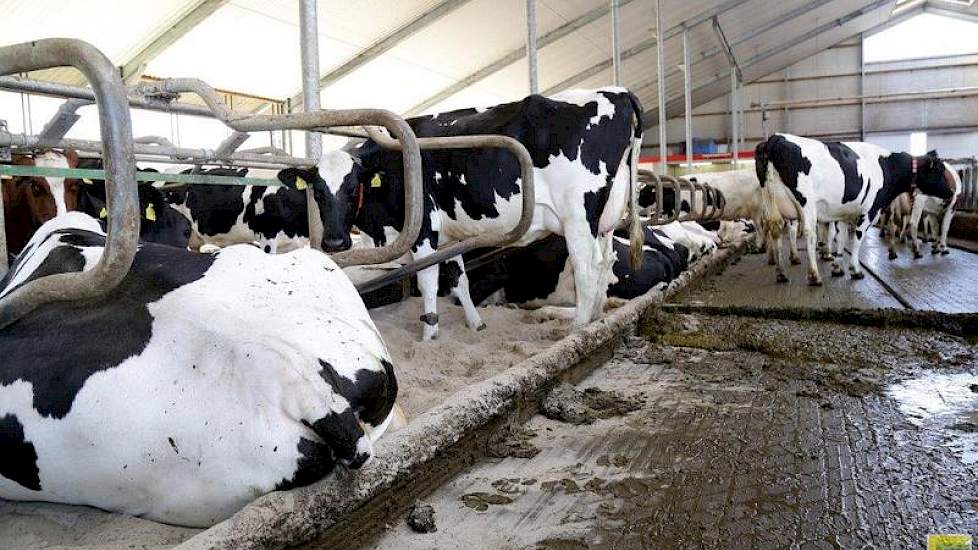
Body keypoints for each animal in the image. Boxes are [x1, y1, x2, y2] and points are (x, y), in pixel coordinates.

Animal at [332, 88, 644, 340]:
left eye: (352, 186)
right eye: (321, 189)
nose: (333, 243)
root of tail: (618, 92)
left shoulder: (423, 230)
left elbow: (428, 281)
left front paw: (429, 334)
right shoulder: (446, 237)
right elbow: (459, 280)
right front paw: (475, 324)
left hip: (577, 216)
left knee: (586, 268)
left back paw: (578, 327)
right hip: (604, 220)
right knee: (606, 262)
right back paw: (595, 319)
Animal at [752, 134, 948, 286]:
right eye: (939, 169)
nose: (951, 190)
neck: (887, 167)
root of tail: (775, 138)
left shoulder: (843, 214)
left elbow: (841, 238)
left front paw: (837, 267)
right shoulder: (869, 211)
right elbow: (857, 240)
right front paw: (855, 270)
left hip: (770, 202)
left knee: (775, 230)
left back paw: (781, 273)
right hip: (806, 202)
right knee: (809, 233)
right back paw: (814, 276)